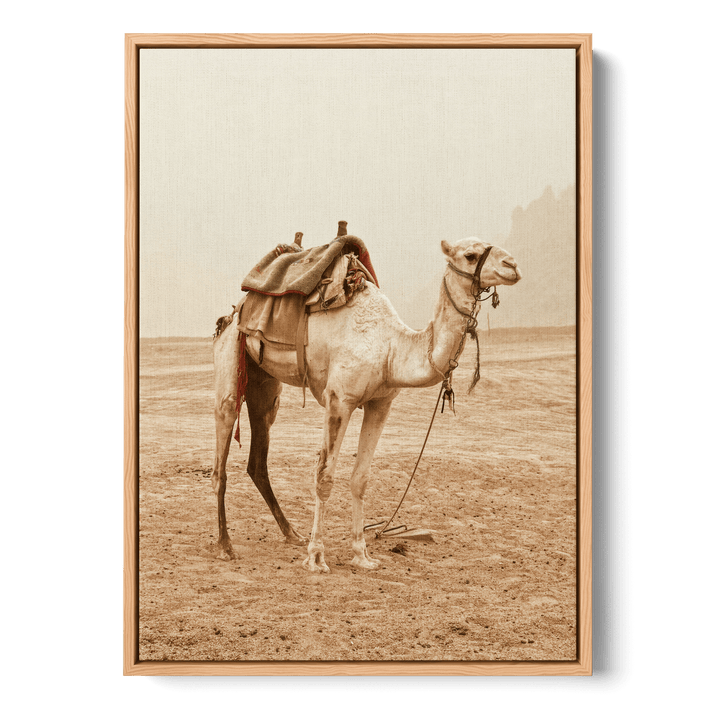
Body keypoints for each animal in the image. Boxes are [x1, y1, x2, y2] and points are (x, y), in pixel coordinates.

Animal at [211, 231, 521, 572]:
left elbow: (360, 478)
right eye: (469, 255)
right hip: (231, 357)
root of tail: (234, 312)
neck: (391, 349)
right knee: (221, 453)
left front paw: (361, 554)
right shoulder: (339, 400)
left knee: (258, 454)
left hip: (265, 384)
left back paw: (292, 533)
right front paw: (316, 557)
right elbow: (324, 477)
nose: (512, 265)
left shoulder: (380, 404)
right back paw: (226, 545)